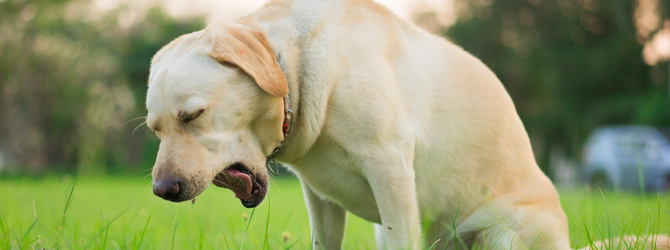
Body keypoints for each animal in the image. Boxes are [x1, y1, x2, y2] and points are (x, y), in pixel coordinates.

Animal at [146, 0, 668, 250]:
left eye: (193, 115)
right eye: (155, 129)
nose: (163, 190)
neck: (295, 65)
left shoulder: (390, 169)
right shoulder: (320, 201)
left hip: (511, 229)